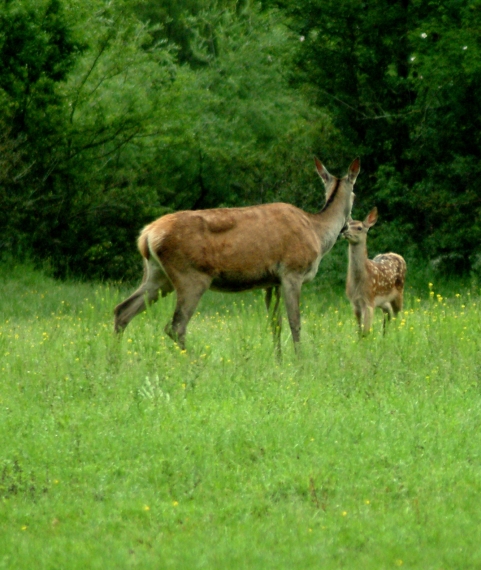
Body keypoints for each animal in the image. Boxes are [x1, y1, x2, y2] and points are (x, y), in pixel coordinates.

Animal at [113, 158, 360, 348]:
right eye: (355, 194)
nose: (348, 226)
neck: (317, 232)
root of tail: (146, 235)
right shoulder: (292, 271)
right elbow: (294, 322)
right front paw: (300, 363)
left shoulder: (272, 281)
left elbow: (275, 324)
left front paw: (279, 362)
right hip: (190, 275)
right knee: (175, 326)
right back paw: (195, 365)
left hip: (158, 275)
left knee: (122, 310)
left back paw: (113, 364)